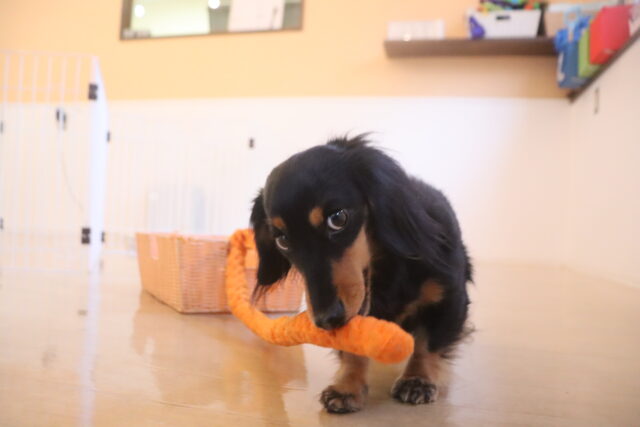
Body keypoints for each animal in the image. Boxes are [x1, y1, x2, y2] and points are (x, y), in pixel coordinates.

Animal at [250, 135, 472, 413]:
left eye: (338, 218)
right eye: (282, 239)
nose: (326, 320)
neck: (386, 275)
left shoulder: (451, 296)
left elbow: (427, 343)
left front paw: (417, 379)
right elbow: (353, 348)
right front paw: (348, 386)